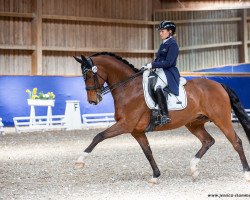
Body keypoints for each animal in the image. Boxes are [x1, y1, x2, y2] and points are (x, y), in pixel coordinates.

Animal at [73, 52, 250, 184]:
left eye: (89, 74)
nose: (92, 100)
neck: (129, 88)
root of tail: (219, 84)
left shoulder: (125, 125)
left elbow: (99, 136)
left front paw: (80, 161)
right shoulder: (136, 131)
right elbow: (148, 152)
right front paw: (155, 175)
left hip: (222, 119)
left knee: (236, 142)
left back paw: (246, 173)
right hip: (194, 124)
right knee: (208, 141)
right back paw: (193, 169)